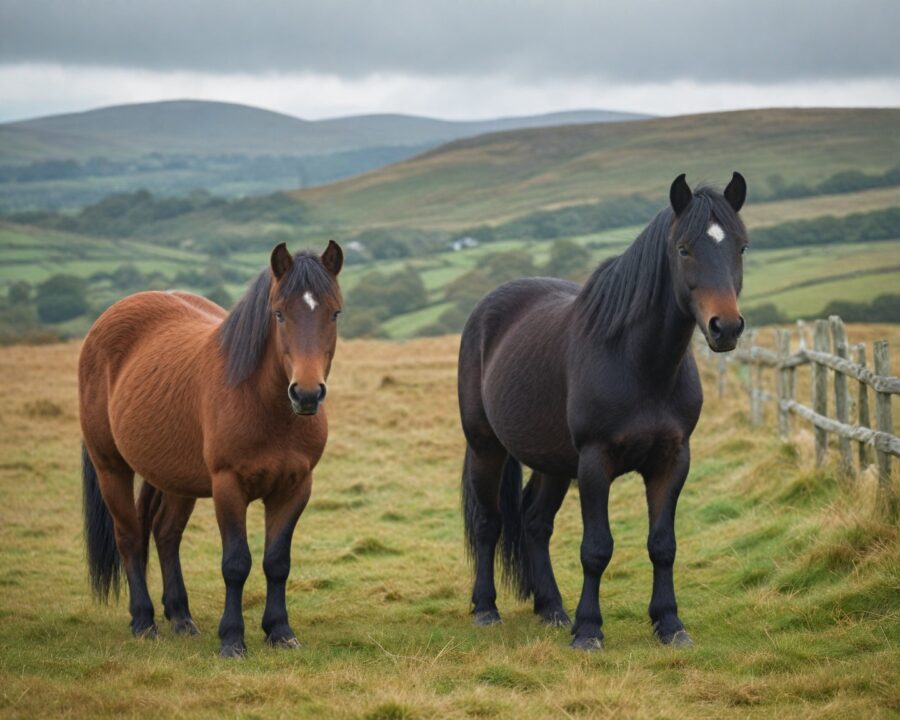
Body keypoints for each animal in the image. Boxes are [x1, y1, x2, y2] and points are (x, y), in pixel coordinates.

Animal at [79, 241, 343, 657]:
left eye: (334, 313)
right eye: (279, 314)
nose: (306, 394)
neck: (262, 404)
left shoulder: (295, 487)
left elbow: (277, 561)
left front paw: (280, 631)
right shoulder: (228, 486)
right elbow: (236, 562)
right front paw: (232, 639)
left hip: (175, 479)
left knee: (165, 533)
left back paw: (181, 617)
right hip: (111, 467)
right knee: (130, 536)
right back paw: (143, 621)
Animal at [458, 173, 747, 649]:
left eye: (741, 246)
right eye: (684, 249)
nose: (725, 327)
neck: (639, 363)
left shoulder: (672, 460)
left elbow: (662, 545)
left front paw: (669, 624)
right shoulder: (596, 462)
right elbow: (596, 548)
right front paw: (589, 630)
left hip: (553, 462)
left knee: (535, 523)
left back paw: (552, 609)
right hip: (487, 448)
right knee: (488, 523)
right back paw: (486, 609)